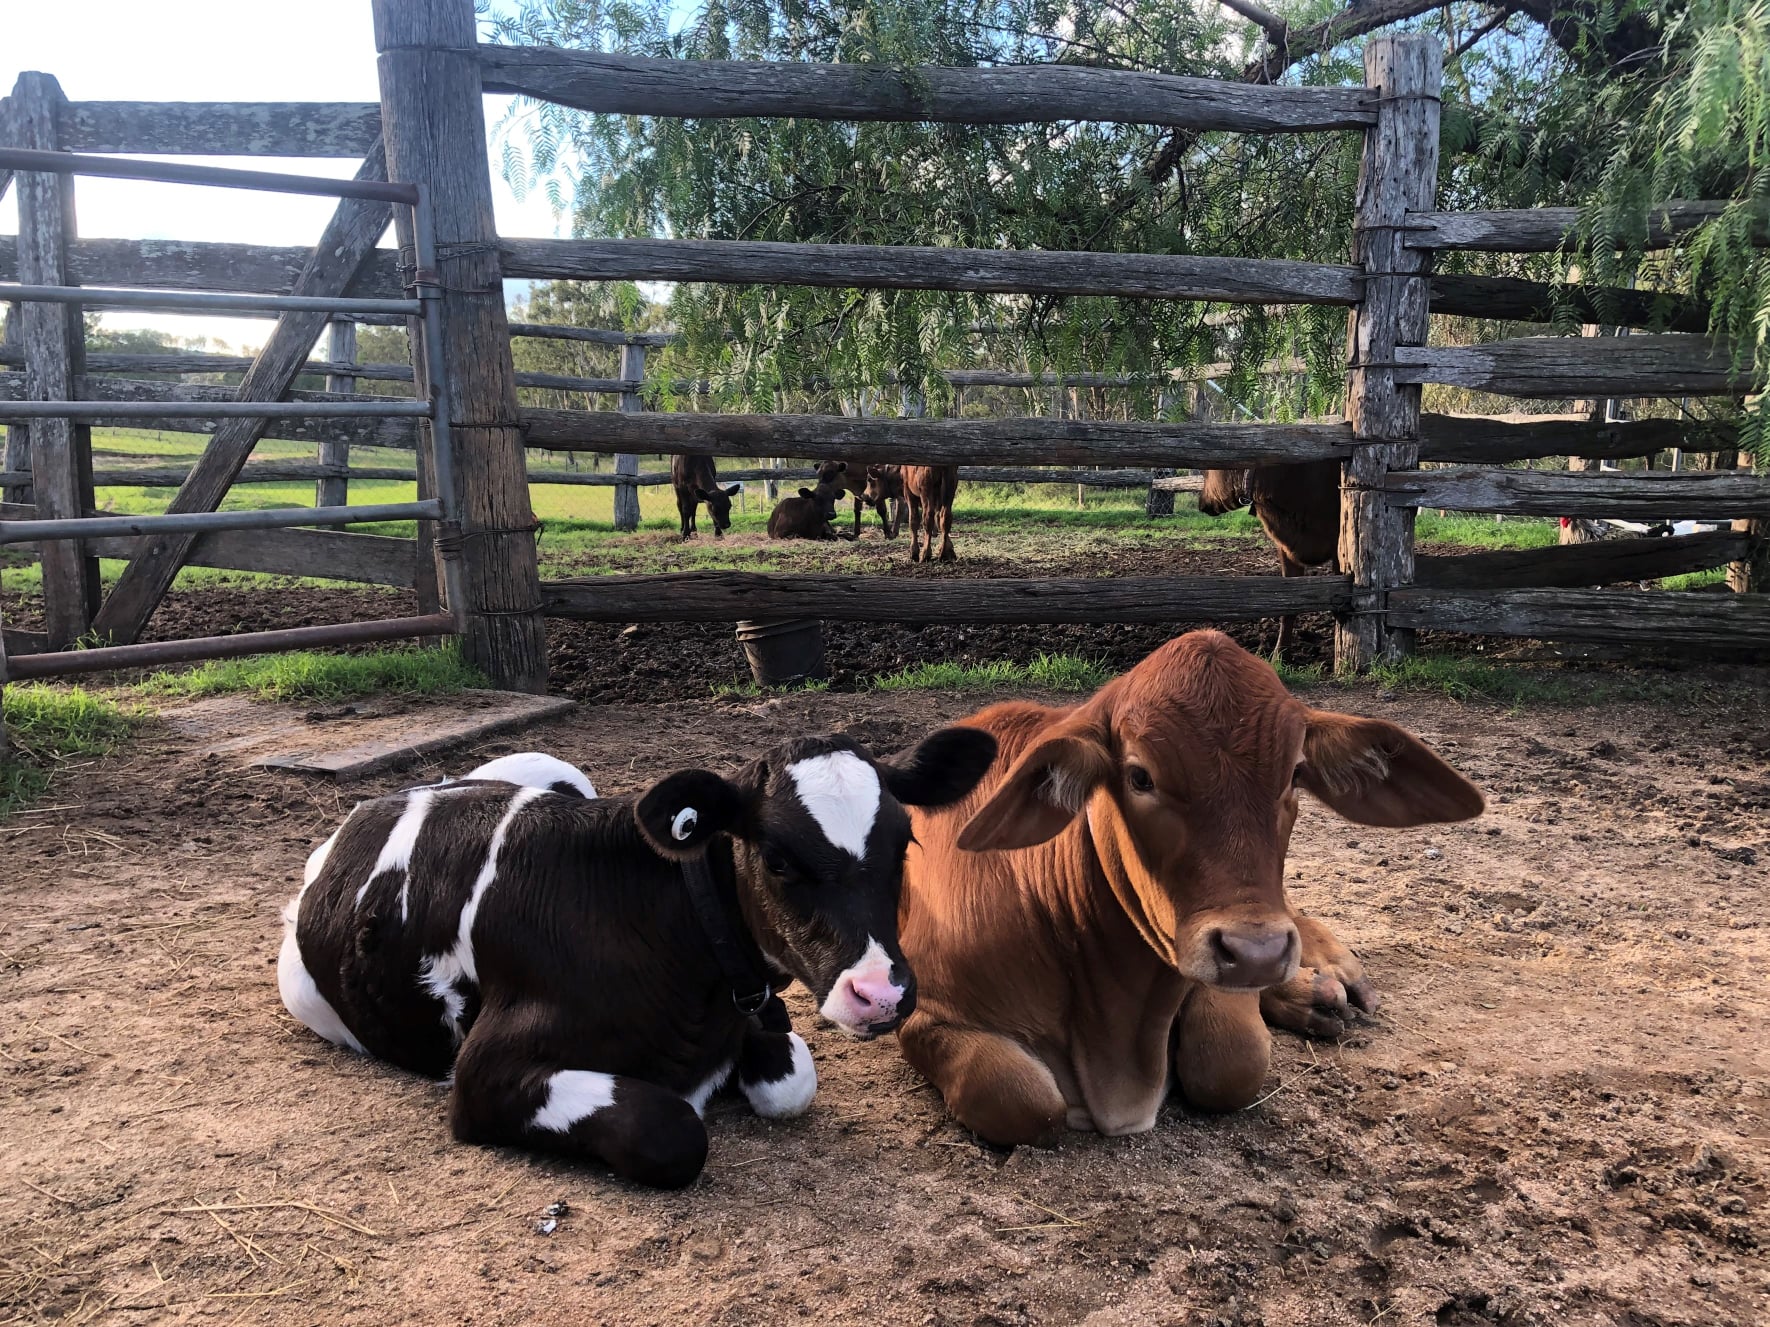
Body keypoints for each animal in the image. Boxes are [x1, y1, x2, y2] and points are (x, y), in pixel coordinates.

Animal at [892, 629, 1486, 1146]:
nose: (1257, 952)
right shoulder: (928, 1015)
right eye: (1139, 776)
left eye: (1295, 774)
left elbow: (1232, 1060)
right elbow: (1021, 1101)